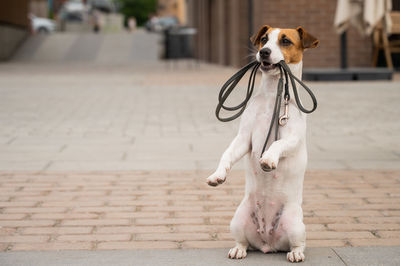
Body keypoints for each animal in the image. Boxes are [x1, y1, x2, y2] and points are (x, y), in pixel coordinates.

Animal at [206, 26, 318, 262]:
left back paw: (296, 253)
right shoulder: (243, 138)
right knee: (244, 242)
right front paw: (217, 175)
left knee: (299, 244)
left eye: (285, 41)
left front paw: (268, 158)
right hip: (238, 219)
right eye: (264, 39)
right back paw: (238, 249)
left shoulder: (292, 138)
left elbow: (277, 145)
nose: (264, 52)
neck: (271, 96)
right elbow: (227, 154)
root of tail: (268, 243)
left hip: (295, 224)